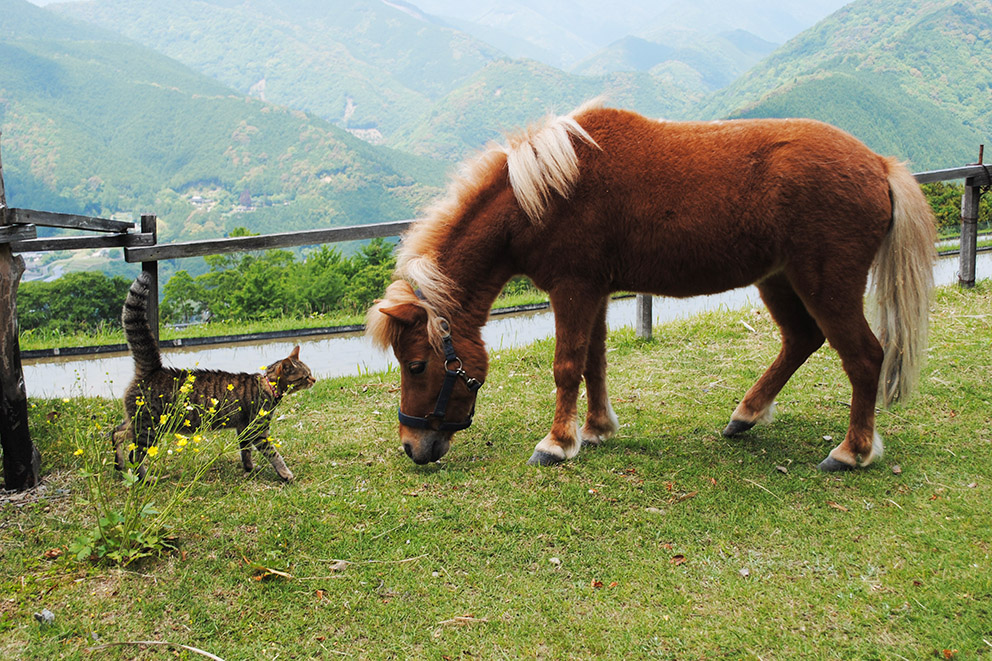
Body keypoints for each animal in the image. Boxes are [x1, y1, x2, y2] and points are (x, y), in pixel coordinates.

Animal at [113, 270, 316, 482]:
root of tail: (153, 369)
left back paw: (118, 464)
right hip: (149, 428)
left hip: (139, 423)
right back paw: (144, 479)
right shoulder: (257, 430)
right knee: (135, 455)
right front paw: (285, 473)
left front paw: (250, 468)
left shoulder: (243, 429)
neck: (268, 385)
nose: (315, 380)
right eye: (306, 376)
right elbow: (273, 453)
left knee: (116, 433)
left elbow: (246, 452)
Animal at [366, 102, 936, 470]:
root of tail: (879, 165)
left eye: (416, 366)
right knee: (801, 340)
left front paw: (557, 443)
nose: (412, 447)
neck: (544, 194)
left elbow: (567, 365)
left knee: (864, 357)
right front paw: (595, 429)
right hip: (779, 280)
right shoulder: (595, 291)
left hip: (825, 285)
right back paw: (745, 416)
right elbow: (593, 362)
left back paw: (852, 452)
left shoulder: (573, 289)